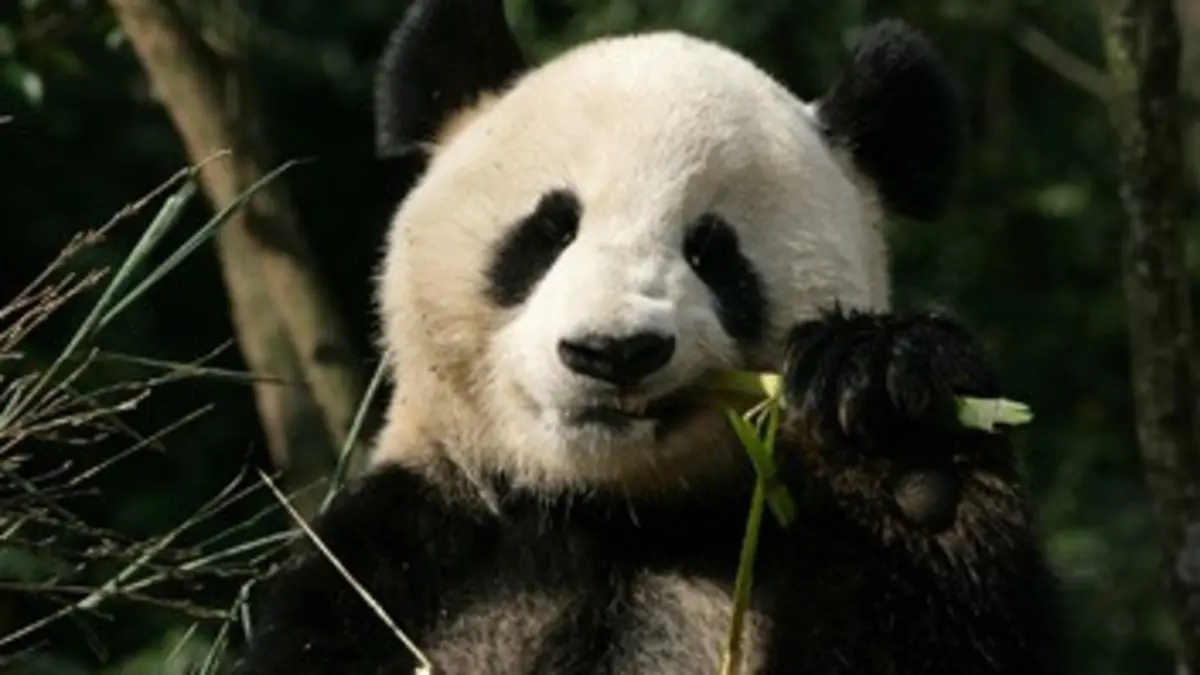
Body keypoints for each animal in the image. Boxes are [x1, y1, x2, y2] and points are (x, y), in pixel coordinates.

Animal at [231, 1, 1064, 673]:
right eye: (549, 230)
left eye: (713, 252)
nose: (614, 350)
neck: (615, 519)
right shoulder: (412, 555)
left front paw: (898, 437)